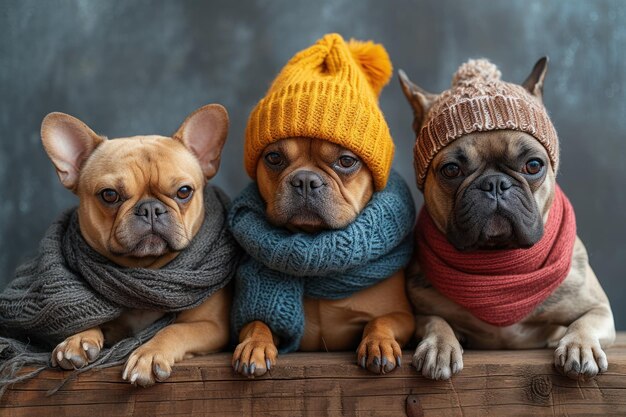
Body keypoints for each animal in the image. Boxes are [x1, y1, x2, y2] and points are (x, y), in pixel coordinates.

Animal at [228, 34, 414, 376]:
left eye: (346, 161)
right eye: (273, 158)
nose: (305, 180)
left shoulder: (403, 316)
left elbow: (382, 321)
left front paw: (378, 344)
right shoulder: (251, 314)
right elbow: (258, 322)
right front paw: (255, 347)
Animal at [398, 58, 612, 380]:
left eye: (533, 165)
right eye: (451, 170)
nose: (495, 183)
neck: (500, 269)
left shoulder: (599, 309)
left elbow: (583, 322)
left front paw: (580, 346)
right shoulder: (419, 314)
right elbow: (436, 321)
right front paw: (440, 347)